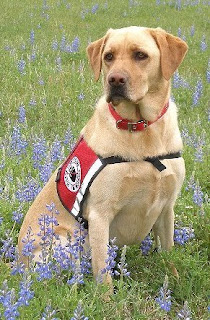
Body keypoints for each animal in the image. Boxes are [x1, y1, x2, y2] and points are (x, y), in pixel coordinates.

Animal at [18, 26, 188, 282]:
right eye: (108, 56)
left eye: (140, 55)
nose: (115, 79)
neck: (140, 128)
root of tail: (17, 261)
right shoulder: (99, 215)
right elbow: (103, 274)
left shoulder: (167, 208)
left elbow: (169, 255)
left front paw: (175, 282)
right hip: (67, 240)